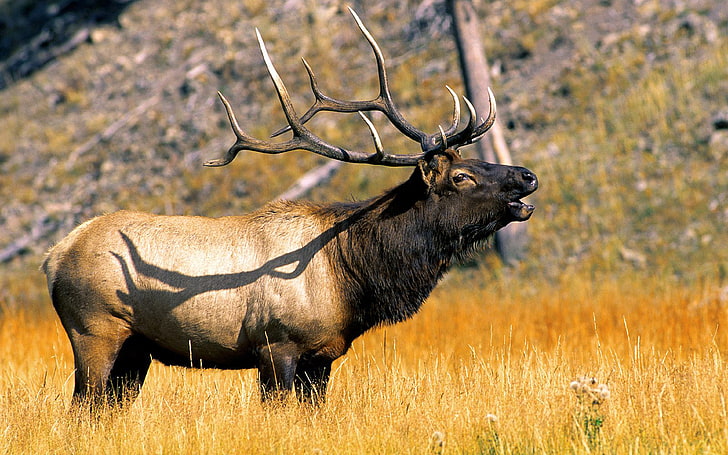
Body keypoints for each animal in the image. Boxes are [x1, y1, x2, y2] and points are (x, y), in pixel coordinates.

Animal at [42, 8, 536, 408]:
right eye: (462, 176)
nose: (528, 176)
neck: (351, 277)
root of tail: (54, 255)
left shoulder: (324, 355)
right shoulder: (275, 344)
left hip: (136, 349)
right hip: (94, 330)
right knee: (82, 406)